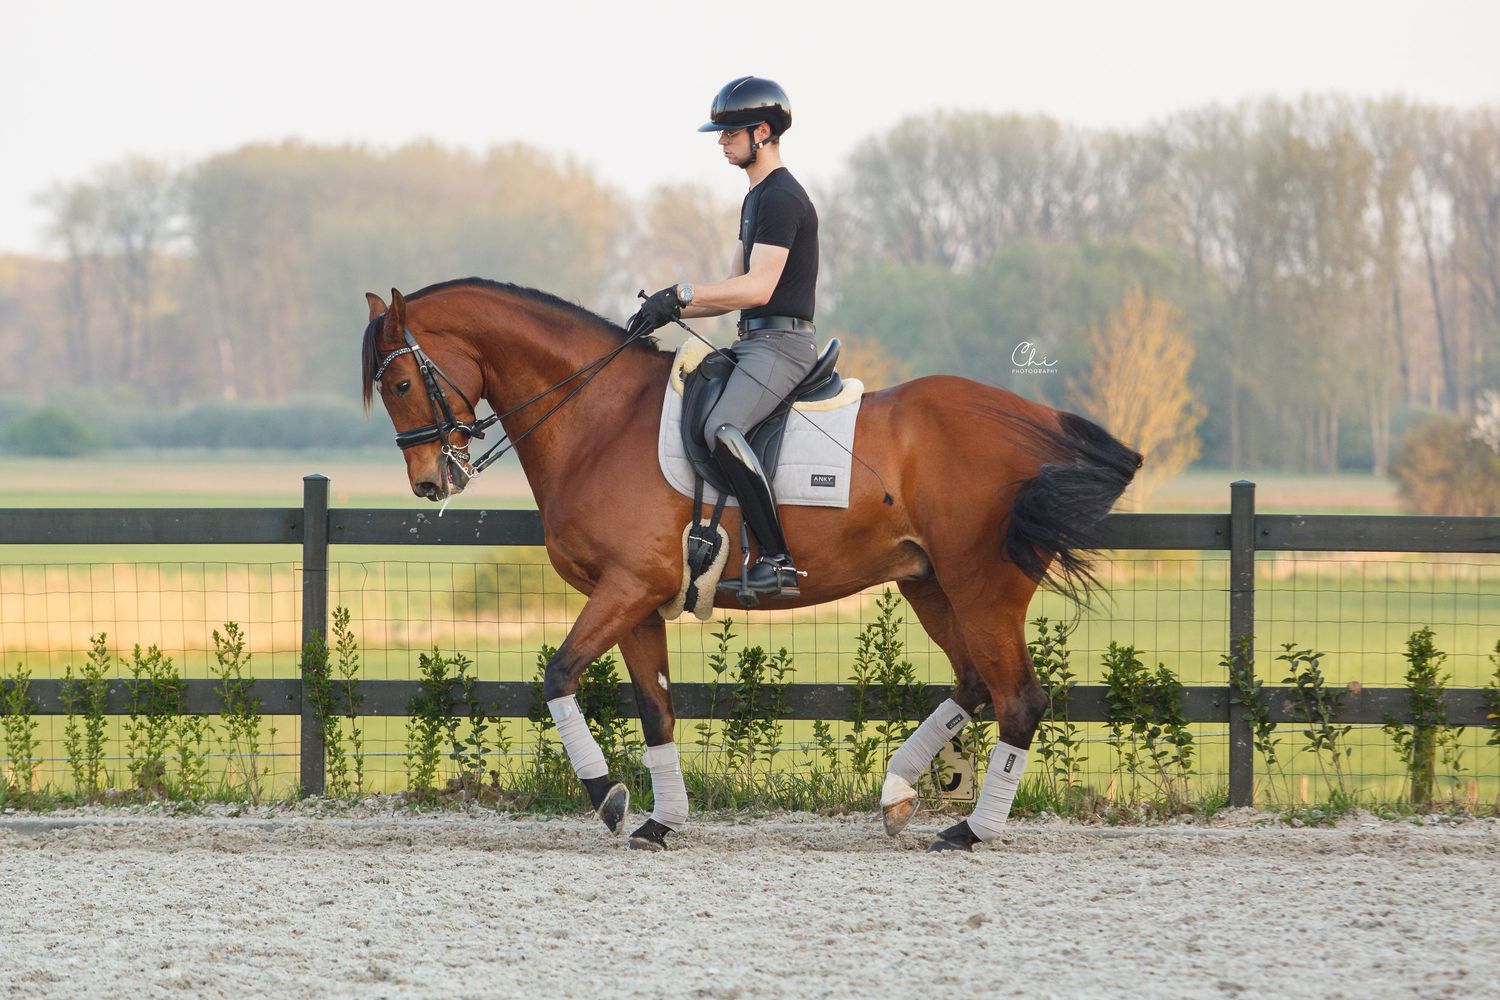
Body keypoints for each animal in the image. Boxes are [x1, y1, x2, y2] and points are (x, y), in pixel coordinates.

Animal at [361, 277, 1141, 852]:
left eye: (398, 386)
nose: (430, 482)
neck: (599, 416)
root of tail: (1034, 422)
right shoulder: (638, 599)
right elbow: (657, 709)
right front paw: (661, 820)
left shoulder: (626, 587)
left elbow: (557, 674)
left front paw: (608, 797)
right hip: (930, 586)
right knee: (975, 683)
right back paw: (897, 793)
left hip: (983, 590)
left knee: (1019, 699)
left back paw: (970, 830)